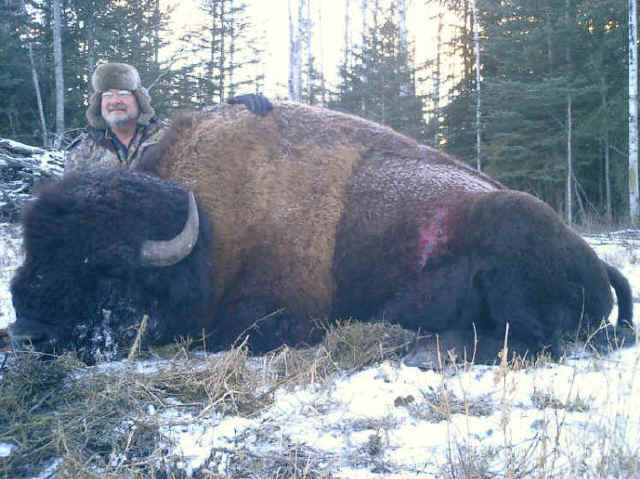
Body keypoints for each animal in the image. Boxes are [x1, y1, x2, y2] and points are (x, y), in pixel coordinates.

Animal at [9, 102, 635, 363]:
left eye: (109, 271)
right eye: (28, 262)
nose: (26, 335)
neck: (210, 227)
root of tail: (595, 260)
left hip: (510, 240)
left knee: (537, 344)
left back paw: (423, 351)